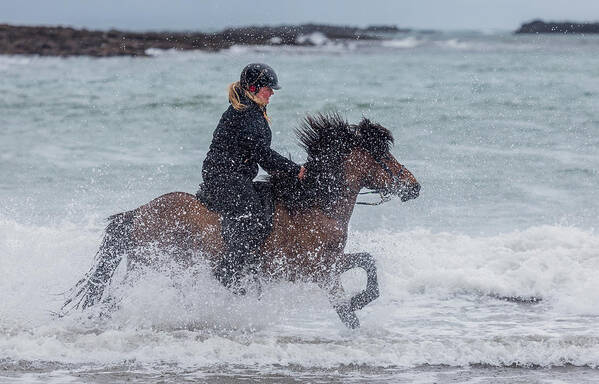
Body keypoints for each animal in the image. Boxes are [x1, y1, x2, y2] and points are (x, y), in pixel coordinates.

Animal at [63, 112, 420, 328]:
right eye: (383, 156)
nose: (414, 186)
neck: (313, 205)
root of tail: (137, 214)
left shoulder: (328, 265)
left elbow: (367, 263)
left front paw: (360, 303)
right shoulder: (318, 270)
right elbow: (350, 302)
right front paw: (358, 302)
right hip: (154, 267)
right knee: (115, 301)